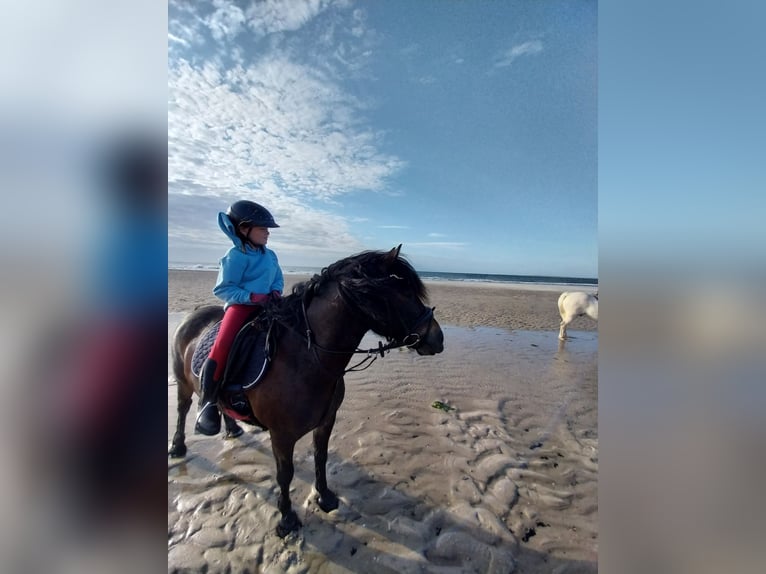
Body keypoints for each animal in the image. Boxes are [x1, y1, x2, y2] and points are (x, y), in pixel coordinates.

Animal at [168, 246, 444, 537]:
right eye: (403, 292)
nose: (437, 338)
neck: (307, 359)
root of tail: (193, 315)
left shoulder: (325, 422)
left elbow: (320, 458)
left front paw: (325, 497)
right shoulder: (281, 435)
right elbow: (285, 474)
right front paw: (286, 519)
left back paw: (231, 429)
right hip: (183, 382)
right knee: (183, 408)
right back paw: (179, 446)